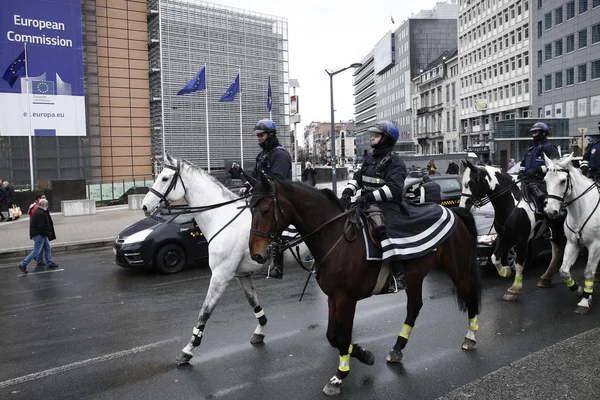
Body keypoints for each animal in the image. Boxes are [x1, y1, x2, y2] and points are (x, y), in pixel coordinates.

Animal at [141, 155, 310, 362]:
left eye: (165, 178)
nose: (145, 206)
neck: (220, 217)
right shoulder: (241, 275)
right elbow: (253, 301)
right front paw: (260, 330)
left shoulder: (220, 276)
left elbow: (205, 312)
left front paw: (189, 348)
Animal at [248, 175, 482, 396]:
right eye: (251, 209)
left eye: (266, 210)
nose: (256, 254)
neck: (336, 237)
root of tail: (453, 211)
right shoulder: (333, 297)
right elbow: (332, 336)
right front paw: (363, 354)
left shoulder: (346, 298)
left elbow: (342, 336)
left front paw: (339, 377)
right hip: (415, 277)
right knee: (414, 308)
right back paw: (397, 349)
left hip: (458, 269)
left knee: (469, 298)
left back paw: (470, 338)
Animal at [460, 159, 568, 300]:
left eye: (471, 182)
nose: (463, 207)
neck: (511, 204)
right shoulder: (504, 236)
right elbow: (495, 257)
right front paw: (505, 271)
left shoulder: (522, 239)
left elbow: (518, 263)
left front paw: (514, 289)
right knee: (557, 249)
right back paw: (546, 278)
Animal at [544, 155, 600, 314]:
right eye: (545, 180)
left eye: (563, 181)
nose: (551, 211)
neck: (581, 211)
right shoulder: (573, 243)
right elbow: (564, 271)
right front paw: (579, 291)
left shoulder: (595, 245)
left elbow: (588, 272)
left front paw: (584, 301)